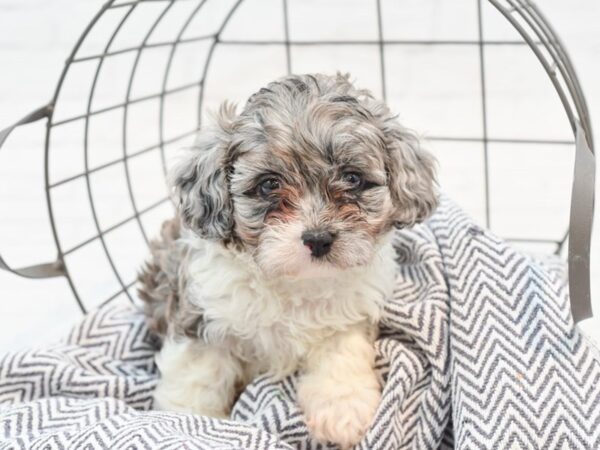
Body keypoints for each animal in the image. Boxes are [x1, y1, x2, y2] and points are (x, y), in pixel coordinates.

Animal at [139, 73, 438, 446]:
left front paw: (344, 409)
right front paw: (189, 420)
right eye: (269, 184)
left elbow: (341, 355)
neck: (295, 282)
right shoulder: (202, 315)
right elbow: (198, 375)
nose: (318, 239)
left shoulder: (349, 315)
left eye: (352, 178)